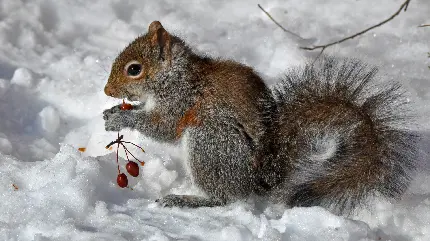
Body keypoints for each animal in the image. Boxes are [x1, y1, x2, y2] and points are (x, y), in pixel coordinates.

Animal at [103, 21, 420, 217]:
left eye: (134, 69)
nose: (107, 91)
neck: (175, 76)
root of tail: (258, 180)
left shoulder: (181, 102)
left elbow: (164, 128)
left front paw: (121, 119)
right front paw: (113, 112)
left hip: (210, 142)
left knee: (224, 198)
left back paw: (186, 200)